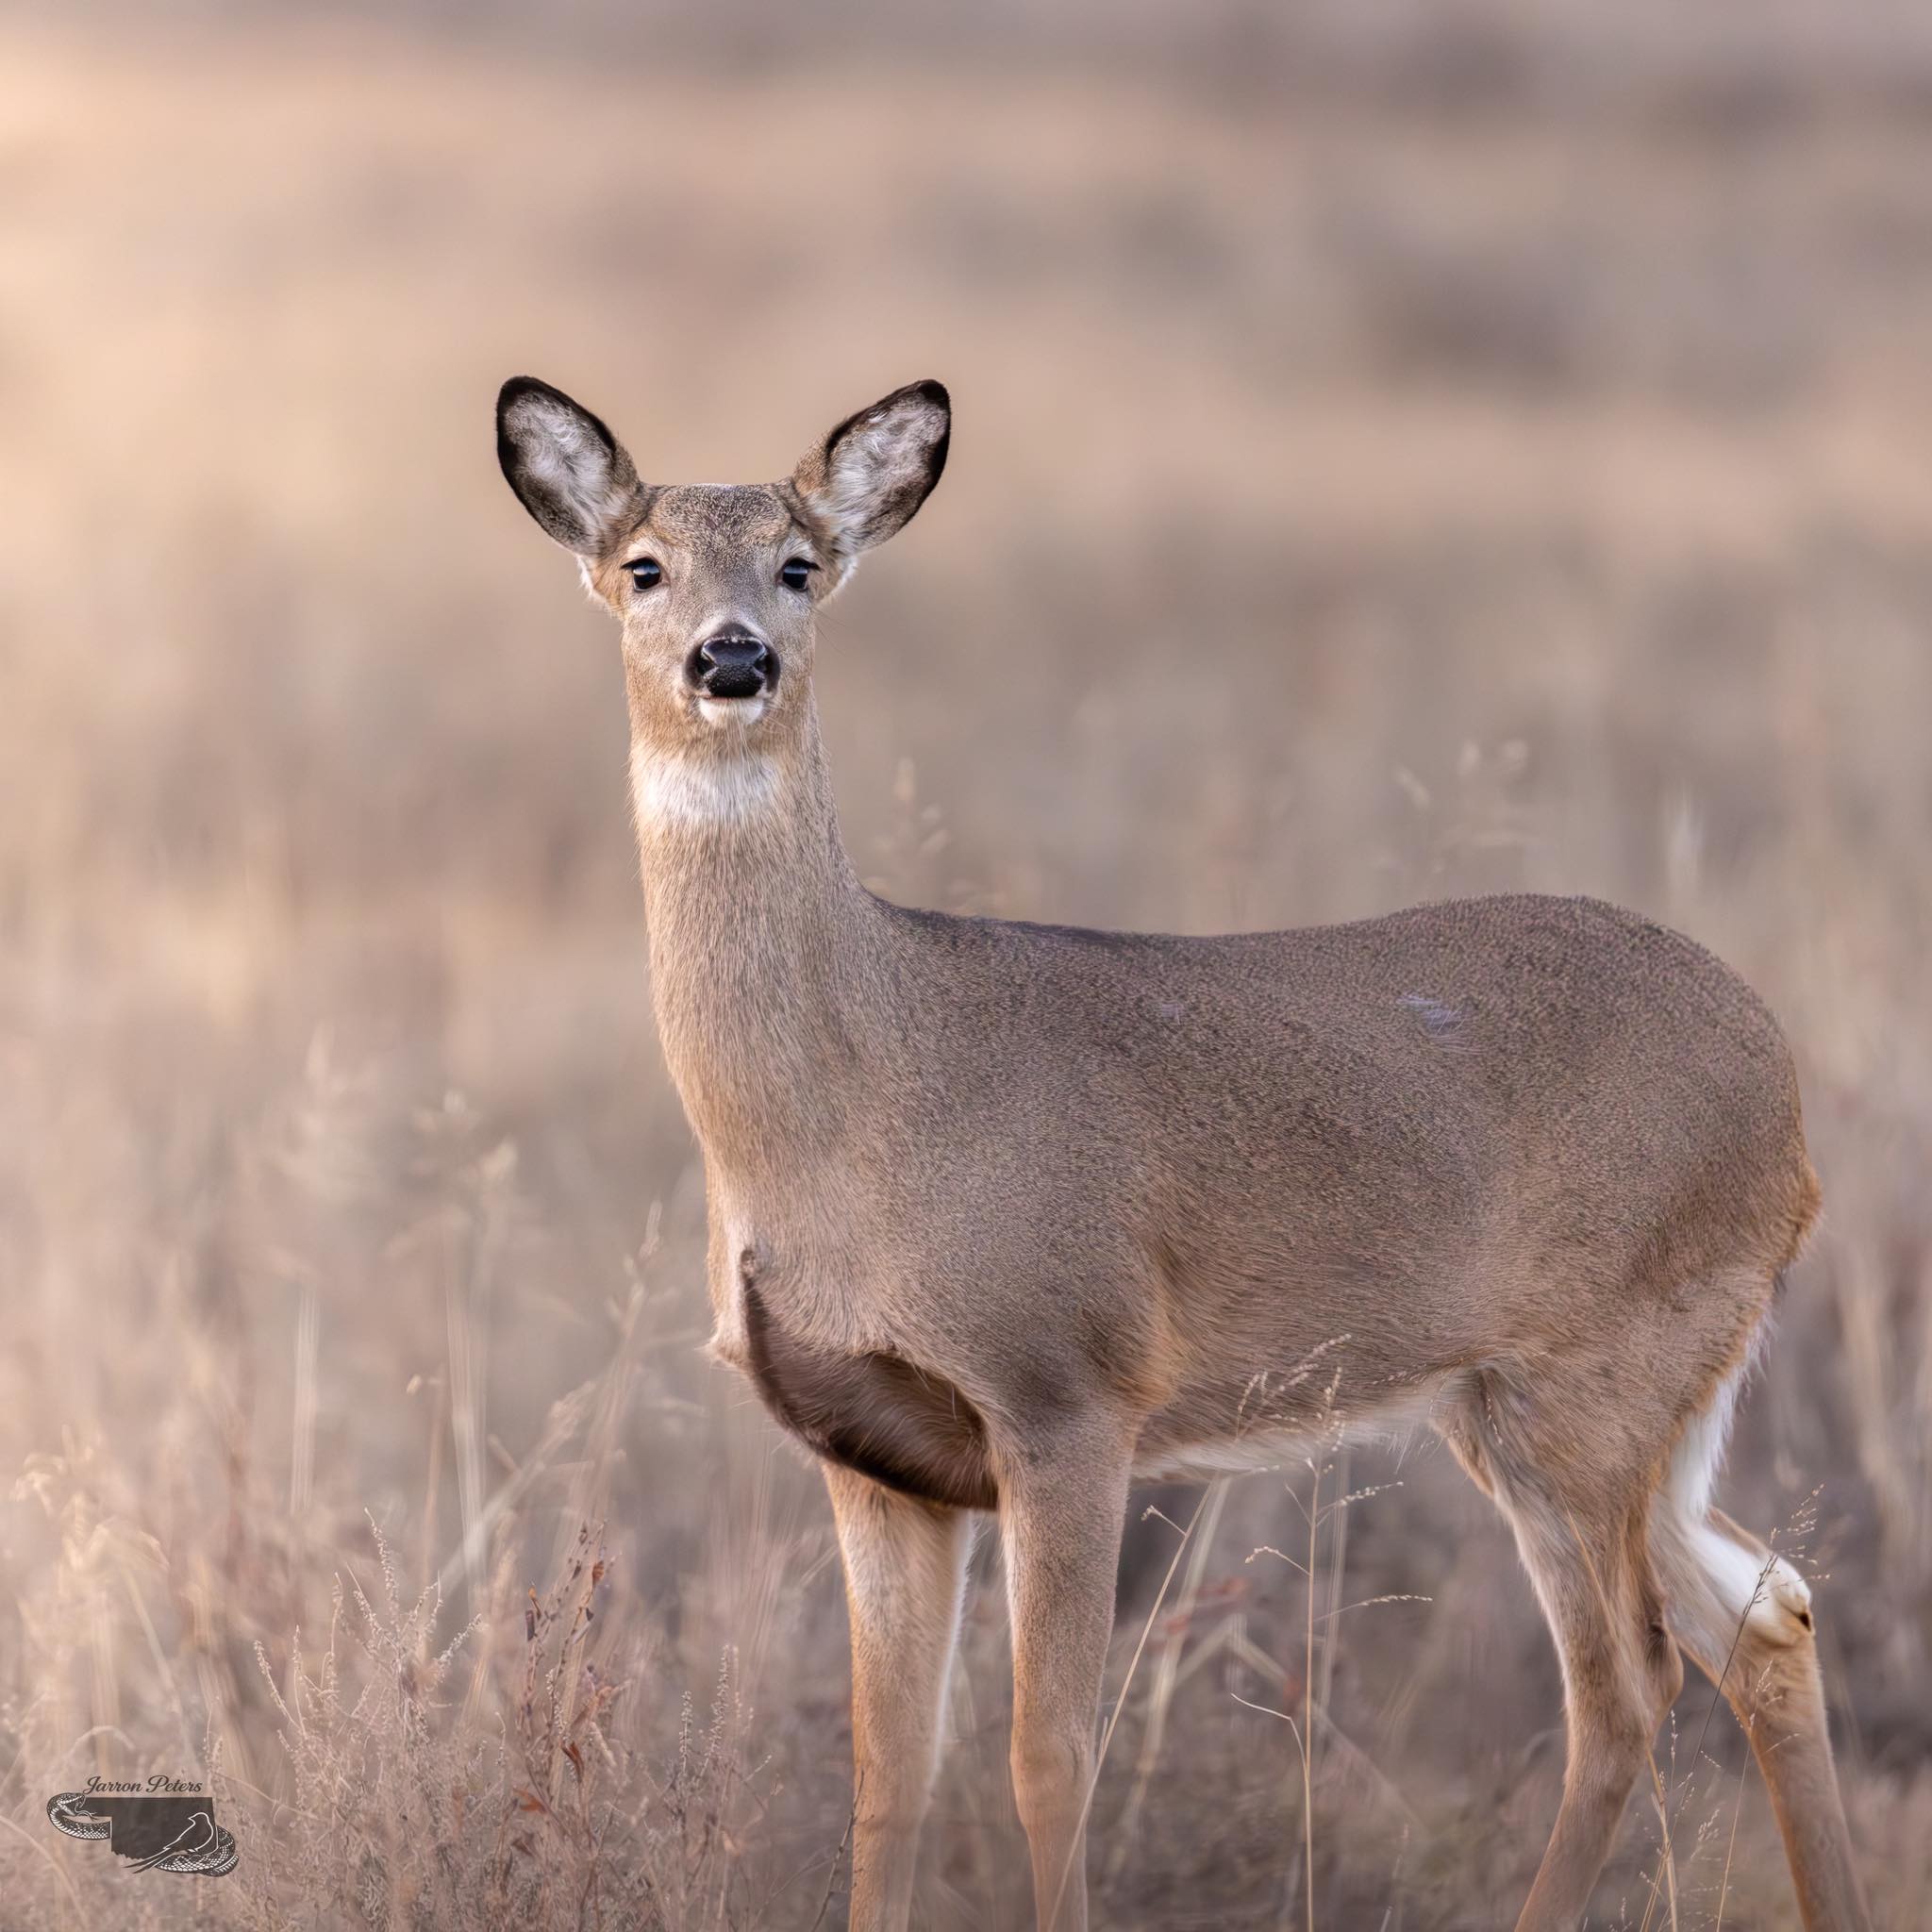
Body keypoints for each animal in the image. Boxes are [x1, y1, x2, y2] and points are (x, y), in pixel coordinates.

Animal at [495, 373, 1872, 1932]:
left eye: (799, 567)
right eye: (642, 567)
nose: (733, 658)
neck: (852, 1107)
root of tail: (1784, 1096)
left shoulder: (1067, 1388)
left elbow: (1046, 1755)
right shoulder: (874, 1457)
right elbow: (887, 1774)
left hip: (1591, 1373)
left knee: (1629, 1684)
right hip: (1579, 1398)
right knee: (1767, 1611)